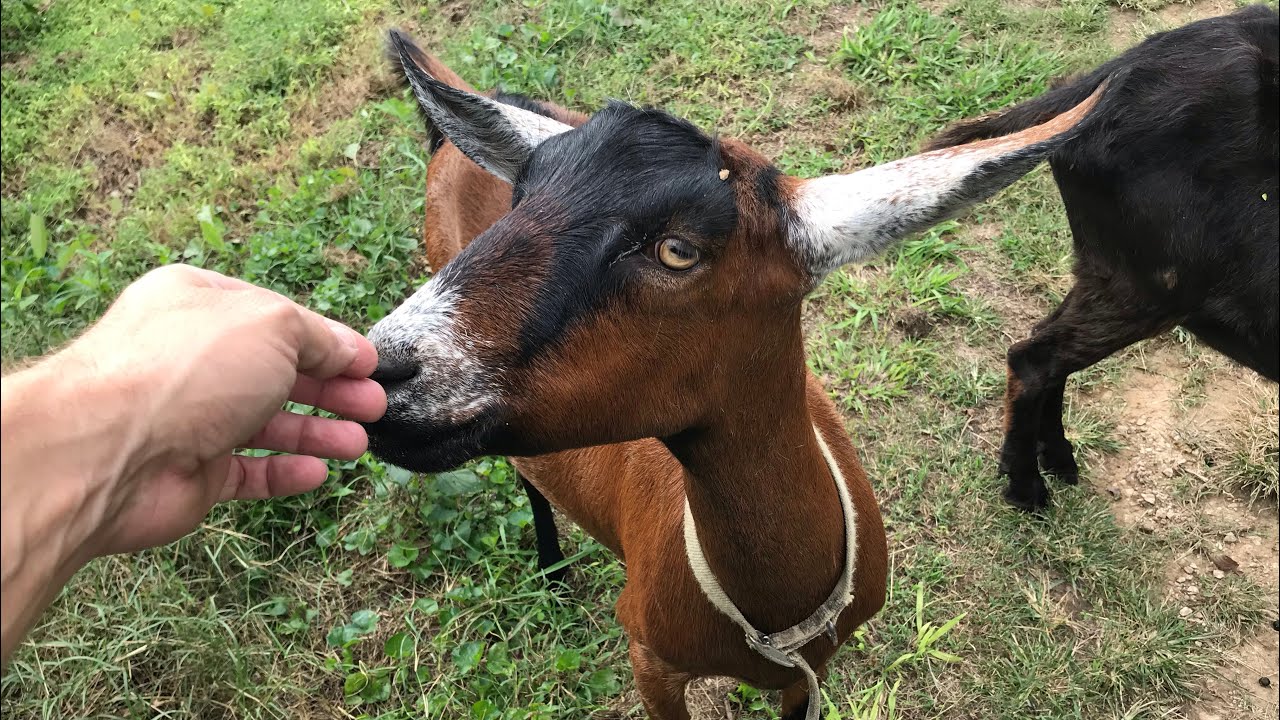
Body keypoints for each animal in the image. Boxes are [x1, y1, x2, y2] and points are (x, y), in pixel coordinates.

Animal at [364, 31, 1111, 719]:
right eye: (521, 197)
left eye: (678, 249)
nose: (386, 368)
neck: (775, 613)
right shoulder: (650, 659)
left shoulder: (814, 672)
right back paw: (550, 572)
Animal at [927, 5, 1279, 512]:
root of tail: (1100, 83)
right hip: (1149, 284)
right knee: (1035, 357)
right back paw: (1027, 489)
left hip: (1107, 271)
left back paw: (1057, 458)